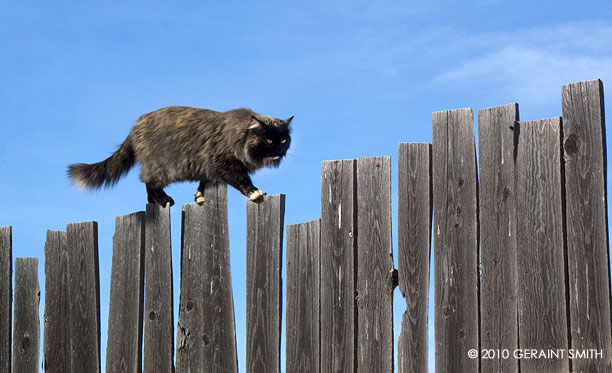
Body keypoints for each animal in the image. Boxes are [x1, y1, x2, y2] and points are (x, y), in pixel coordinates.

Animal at [68, 106, 292, 206]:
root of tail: (136, 125)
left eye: (284, 140)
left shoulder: (208, 166)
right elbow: (241, 179)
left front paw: (200, 196)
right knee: (148, 182)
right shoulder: (224, 163)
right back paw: (162, 198)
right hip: (161, 166)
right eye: (269, 141)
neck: (237, 136)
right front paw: (254, 192)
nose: (280, 152)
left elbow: (204, 182)